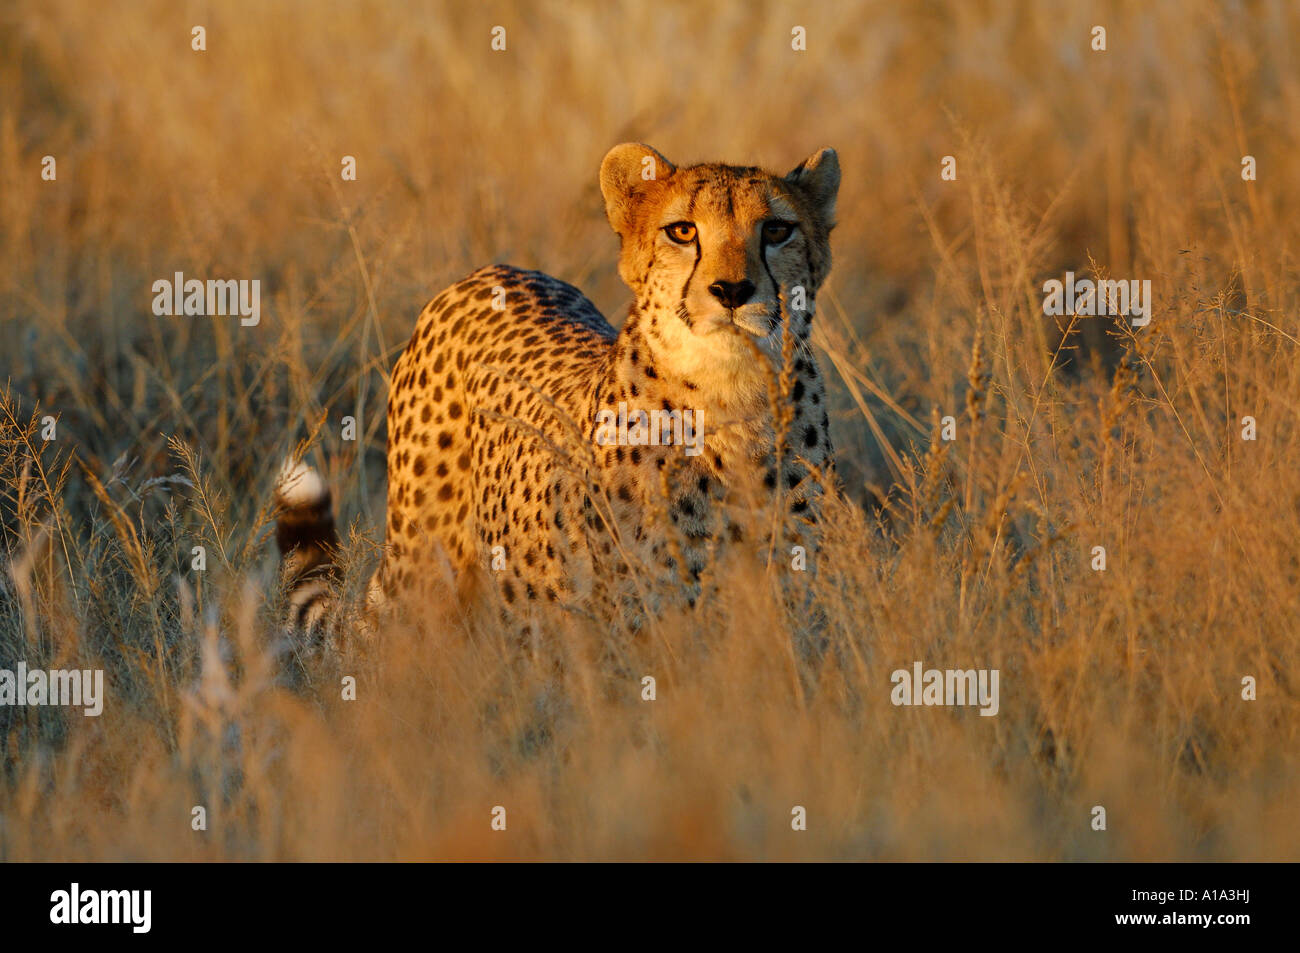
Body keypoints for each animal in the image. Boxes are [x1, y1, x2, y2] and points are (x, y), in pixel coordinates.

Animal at [276, 143, 842, 631]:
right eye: (682, 231)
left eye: (777, 230)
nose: (731, 290)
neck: (731, 399)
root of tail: (491, 270)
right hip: (424, 574)